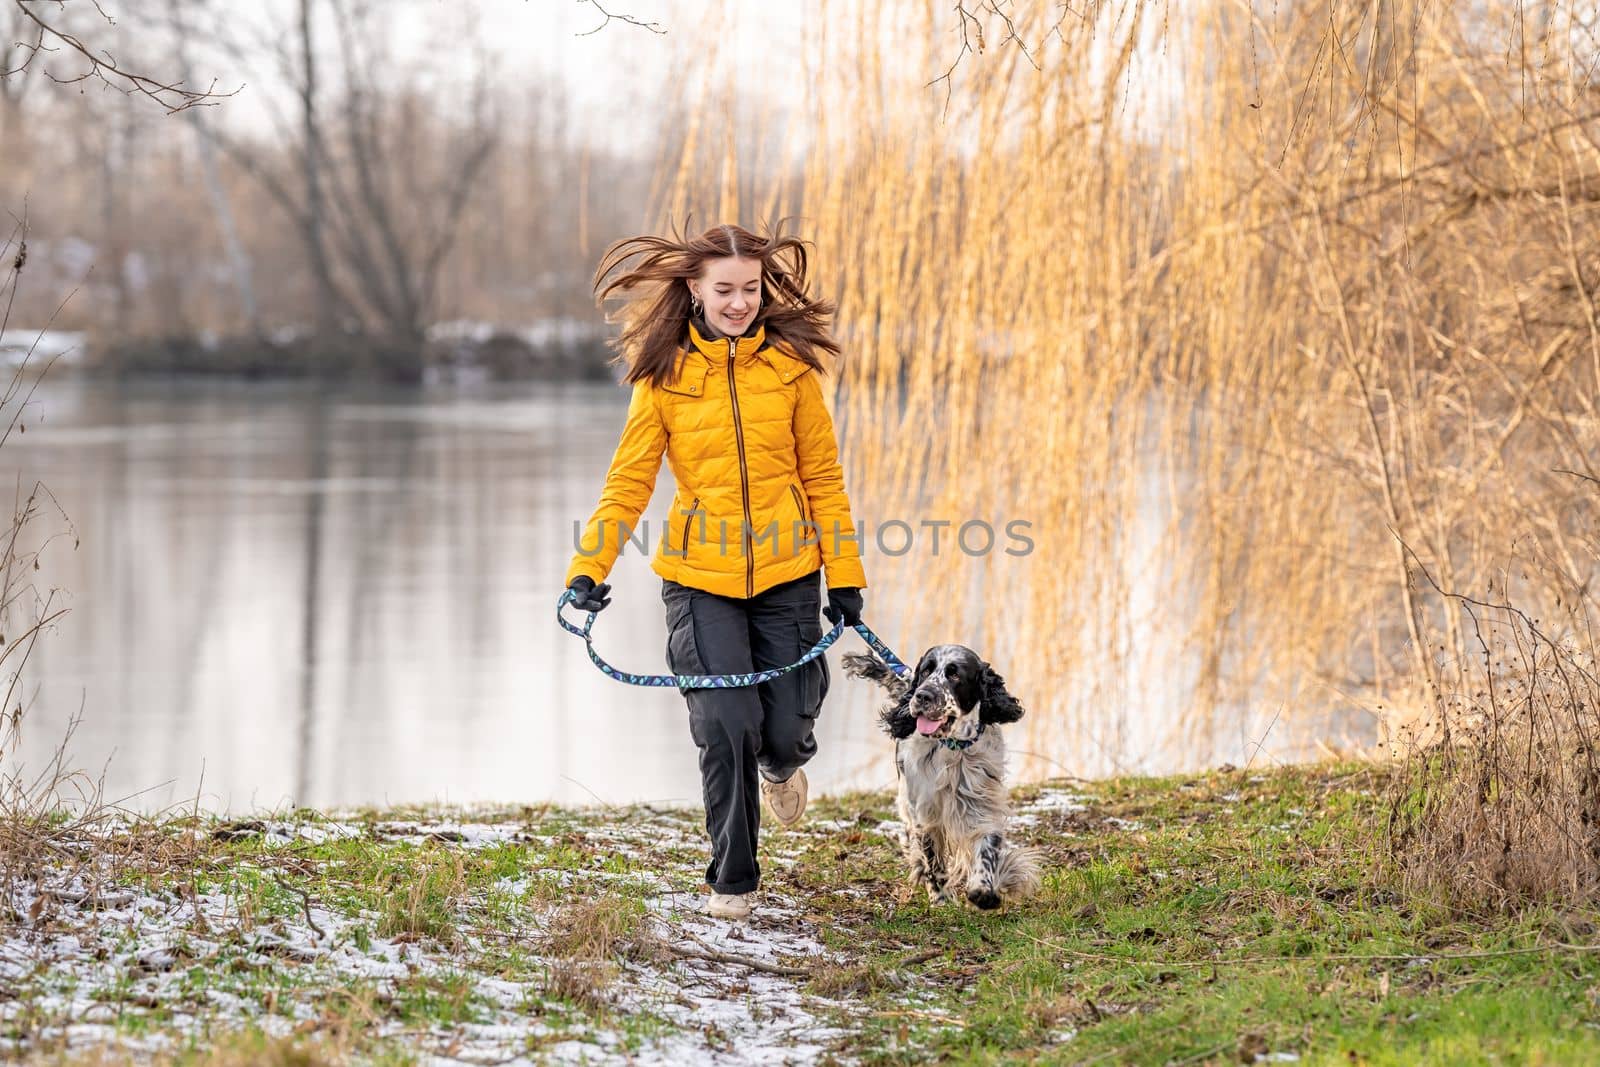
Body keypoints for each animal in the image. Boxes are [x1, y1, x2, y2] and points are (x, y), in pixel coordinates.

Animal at [844, 643, 1043, 908]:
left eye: (955, 675)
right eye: (926, 671)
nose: (922, 696)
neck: (953, 747)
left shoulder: (981, 803)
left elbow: (987, 845)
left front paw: (983, 890)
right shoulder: (925, 812)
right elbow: (933, 860)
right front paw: (941, 898)